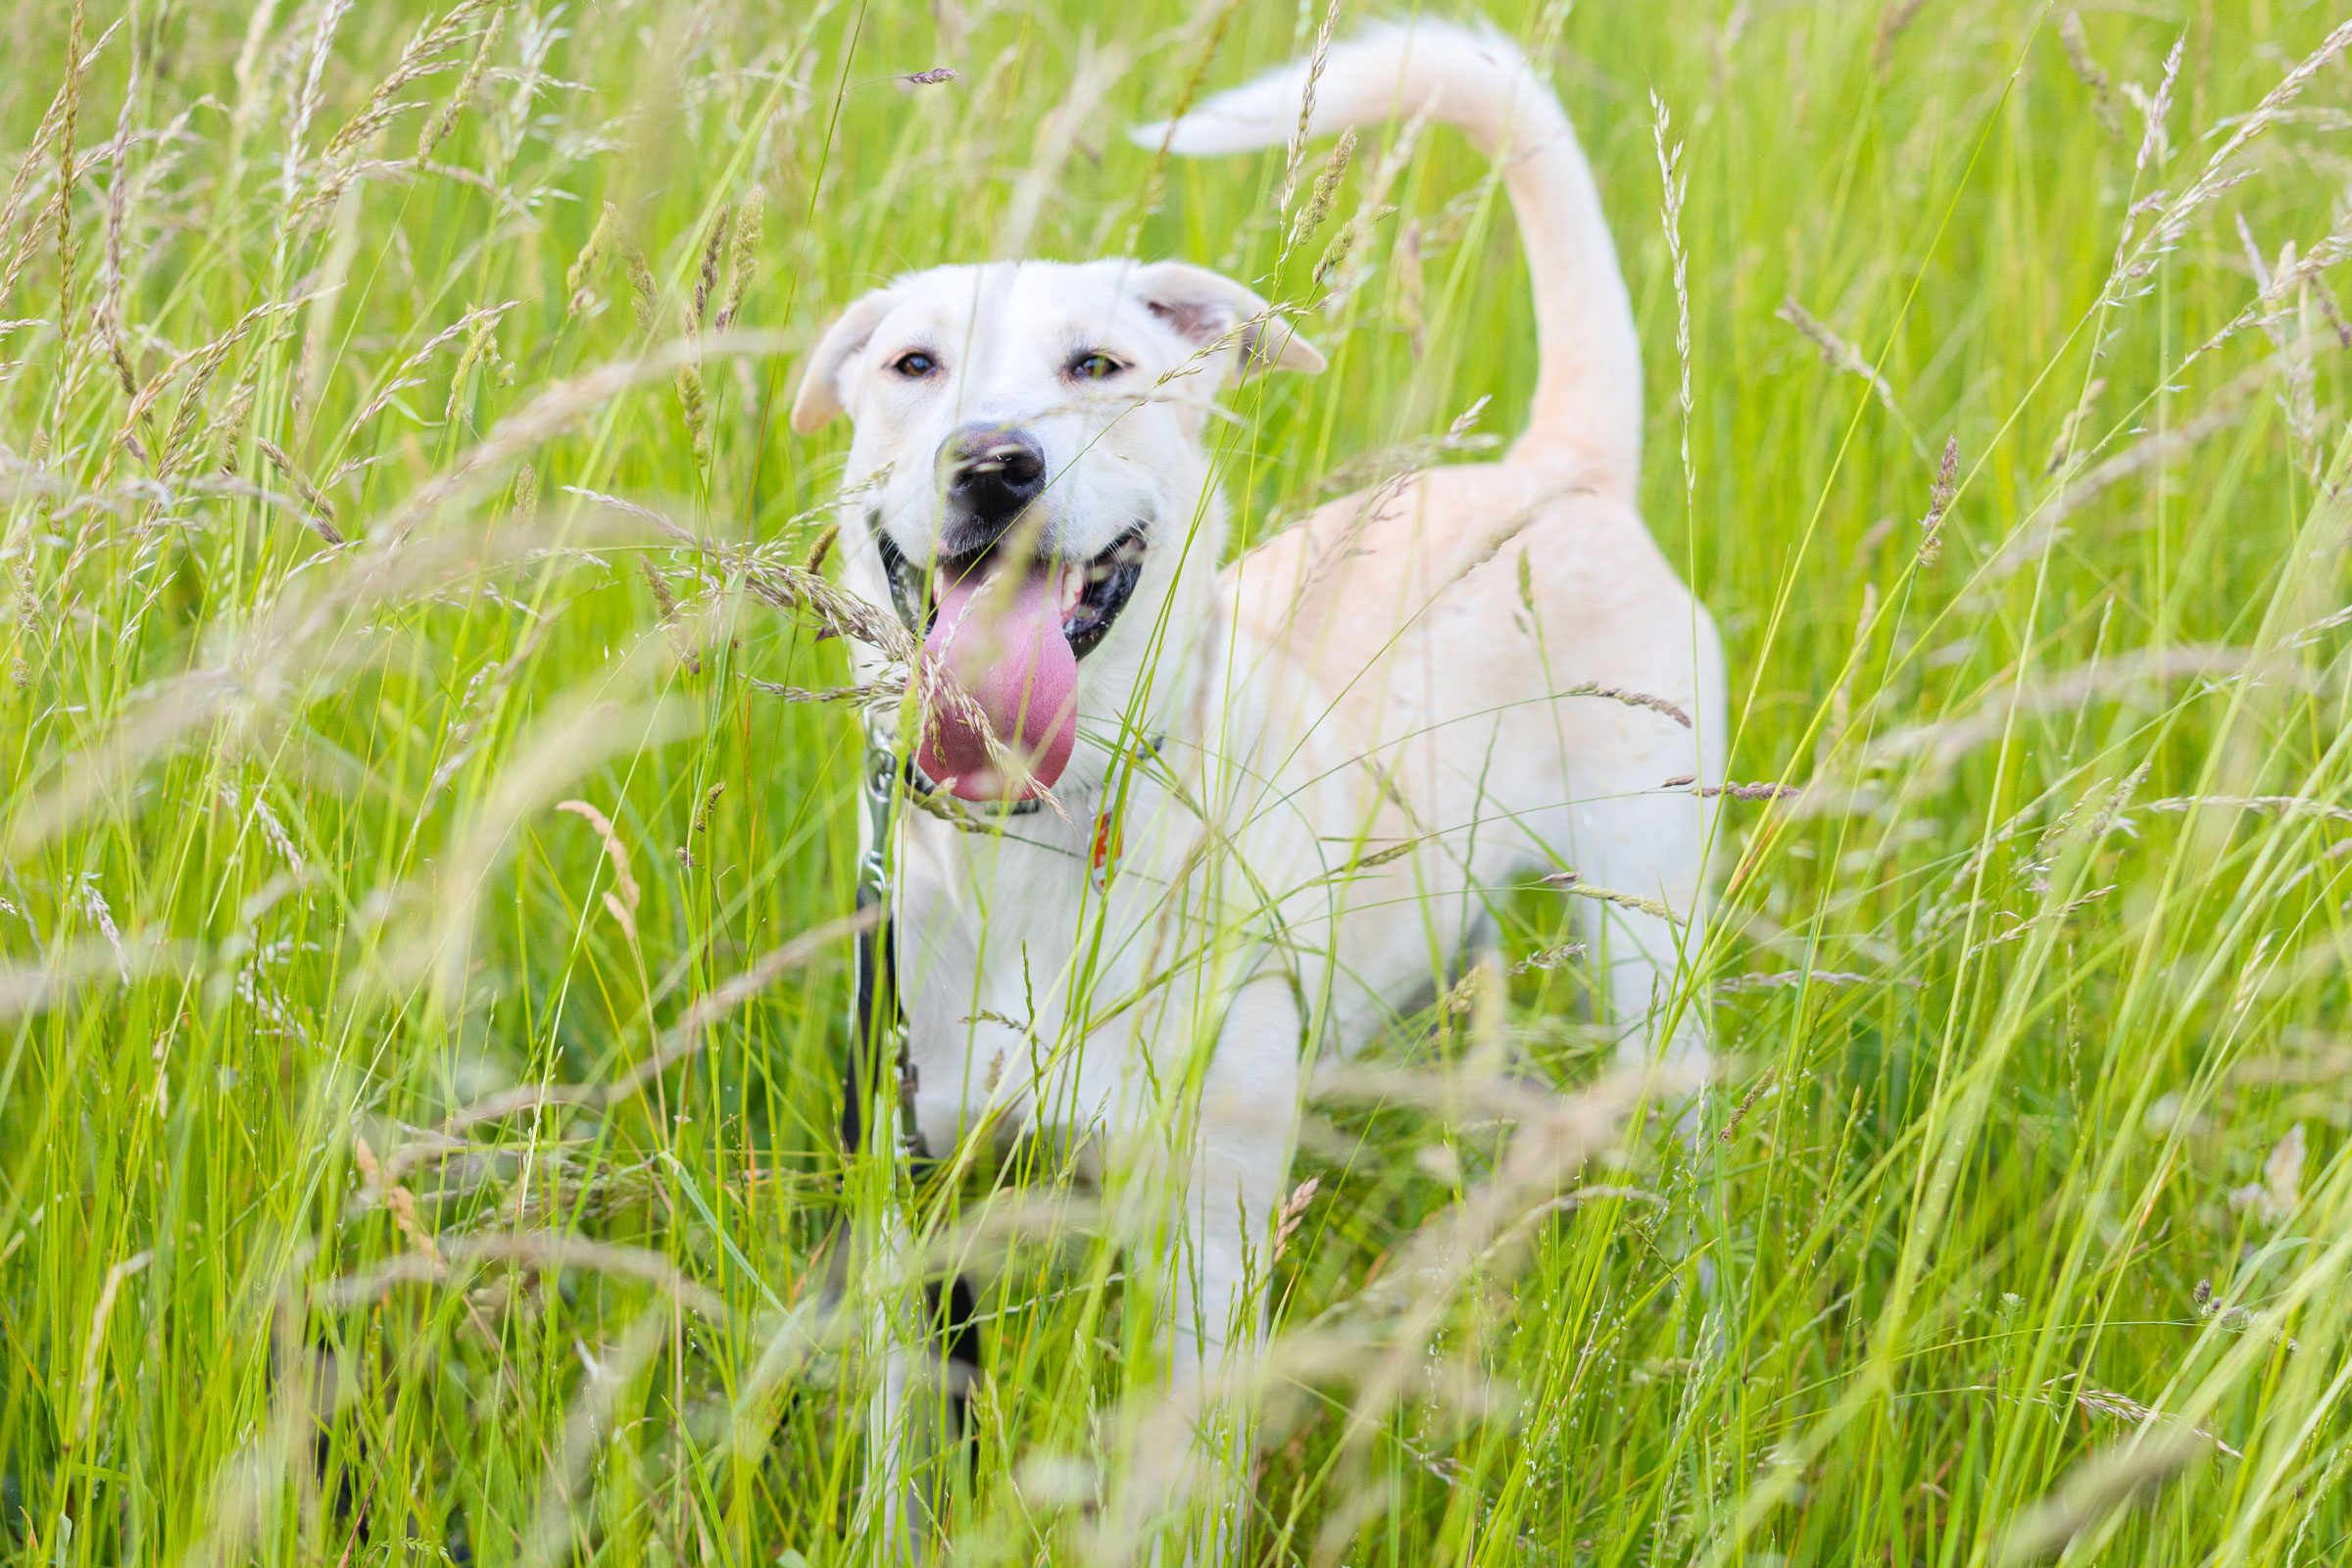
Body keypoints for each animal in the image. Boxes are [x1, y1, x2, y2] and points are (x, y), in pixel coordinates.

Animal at [790, 15, 1731, 1542]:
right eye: (913, 366)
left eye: (1099, 367)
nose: (996, 462)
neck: (1039, 835)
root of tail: (1558, 469)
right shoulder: (914, 1212)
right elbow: (904, 1468)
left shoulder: (1206, 1245)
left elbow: (1181, 1478)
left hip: (1655, 953)